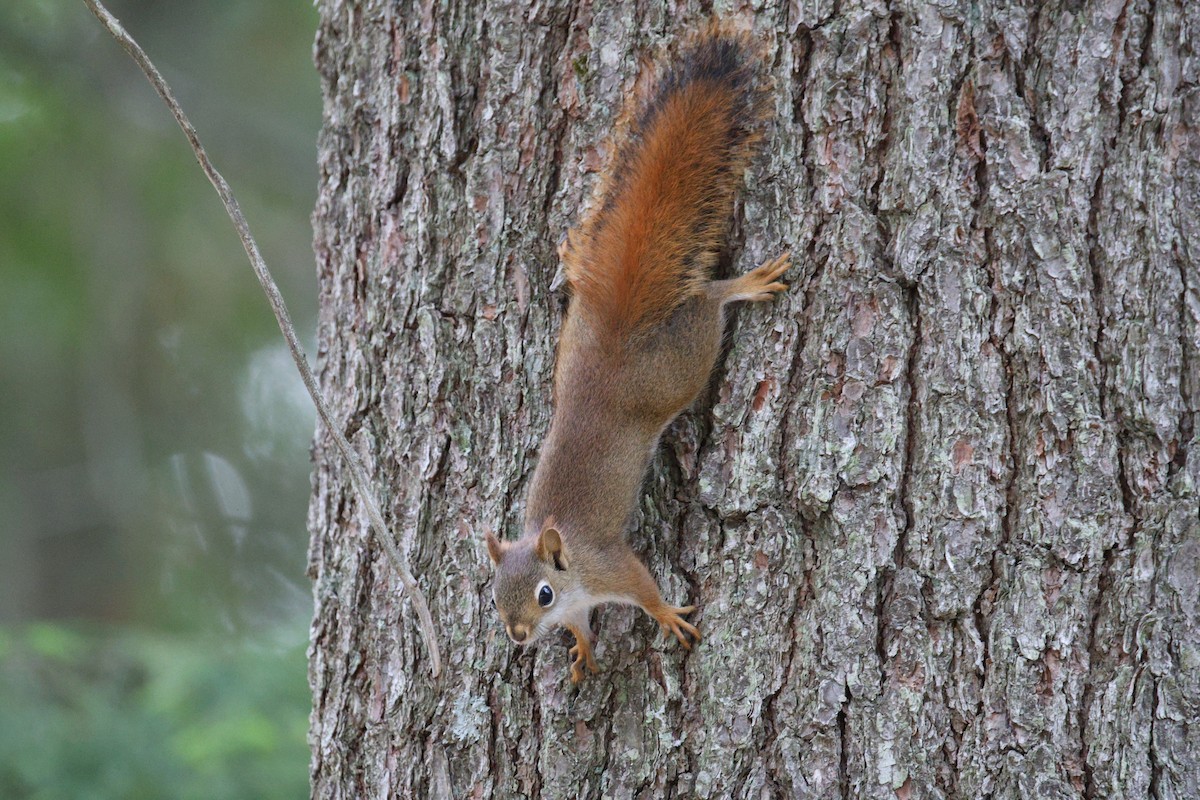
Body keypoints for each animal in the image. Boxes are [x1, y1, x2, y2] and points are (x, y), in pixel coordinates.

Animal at [486, 24, 790, 684]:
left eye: (542, 593)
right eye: (493, 595)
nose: (519, 636)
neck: (570, 573)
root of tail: (614, 341)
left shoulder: (608, 565)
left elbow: (643, 589)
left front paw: (667, 616)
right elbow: (581, 627)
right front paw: (582, 649)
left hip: (680, 367)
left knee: (707, 303)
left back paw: (744, 284)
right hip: (574, 339)